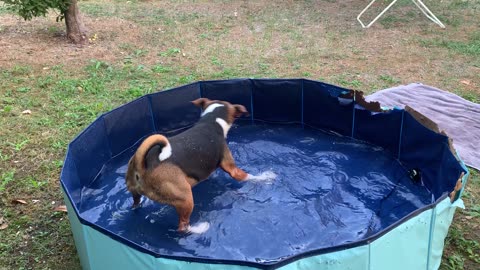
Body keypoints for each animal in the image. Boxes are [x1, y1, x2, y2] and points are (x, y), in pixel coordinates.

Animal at [124, 98, 251, 232]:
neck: (212, 121)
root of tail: (142, 165)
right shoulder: (232, 168)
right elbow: (250, 177)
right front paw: (260, 178)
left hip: (135, 192)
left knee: (135, 203)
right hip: (186, 199)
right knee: (183, 227)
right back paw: (200, 228)